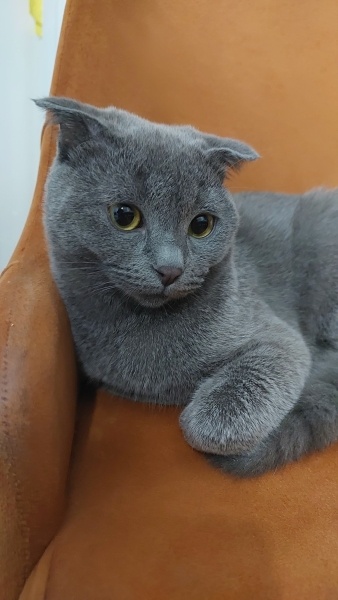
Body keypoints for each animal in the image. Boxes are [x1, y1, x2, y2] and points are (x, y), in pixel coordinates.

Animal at [35, 97, 338, 478]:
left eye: (201, 224)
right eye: (124, 215)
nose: (169, 269)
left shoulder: (278, 339)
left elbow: (220, 414)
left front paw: (200, 415)